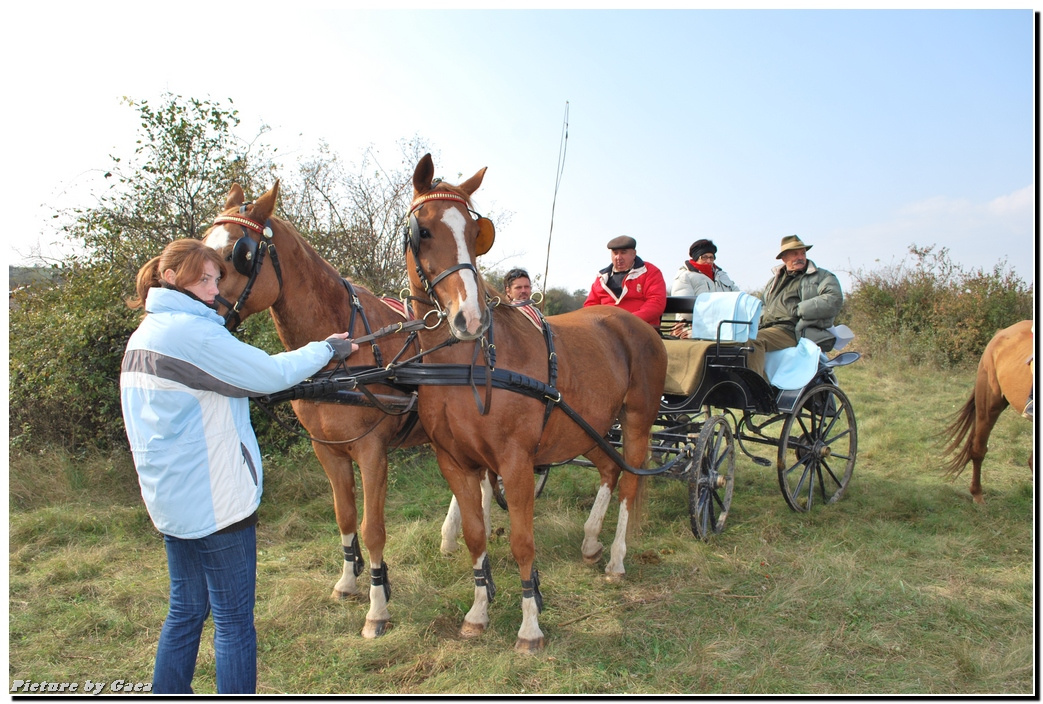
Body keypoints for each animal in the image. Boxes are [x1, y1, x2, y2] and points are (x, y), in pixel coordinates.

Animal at [201, 181, 490, 638]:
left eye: (238, 253)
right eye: (204, 244)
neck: (341, 357)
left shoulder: (371, 451)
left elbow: (372, 529)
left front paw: (377, 607)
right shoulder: (328, 451)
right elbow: (345, 516)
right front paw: (349, 583)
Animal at [398, 155, 667, 654]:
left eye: (475, 231)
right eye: (422, 231)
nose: (470, 319)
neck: (466, 365)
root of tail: (631, 322)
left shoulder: (516, 463)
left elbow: (523, 543)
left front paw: (529, 627)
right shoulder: (456, 462)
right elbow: (475, 536)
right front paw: (478, 614)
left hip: (637, 420)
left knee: (629, 484)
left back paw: (616, 559)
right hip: (590, 426)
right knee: (609, 469)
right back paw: (591, 541)